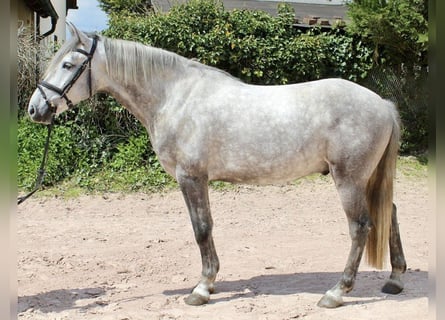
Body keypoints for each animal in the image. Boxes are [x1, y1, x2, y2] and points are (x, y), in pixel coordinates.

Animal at [27, 25, 406, 308]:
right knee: (389, 213)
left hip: (349, 180)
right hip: (368, 179)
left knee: (360, 227)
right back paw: (395, 279)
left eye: (66, 65)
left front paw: (201, 288)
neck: (174, 98)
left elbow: (201, 229)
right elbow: (204, 228)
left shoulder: (191, 177)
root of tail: (383, 104)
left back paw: (337, 292)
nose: (35, 109)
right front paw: (207, 284)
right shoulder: (198, 179)